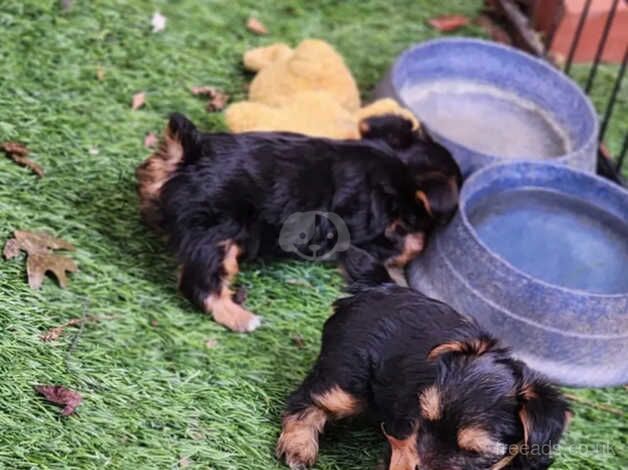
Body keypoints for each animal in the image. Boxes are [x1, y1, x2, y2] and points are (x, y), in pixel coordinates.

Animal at [278, 248, 572, 468]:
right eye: (424, 422)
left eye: (474, 453)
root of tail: (377, 285)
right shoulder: (401, 442)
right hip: (348, 374)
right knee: (311, 398)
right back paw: (298, 445)